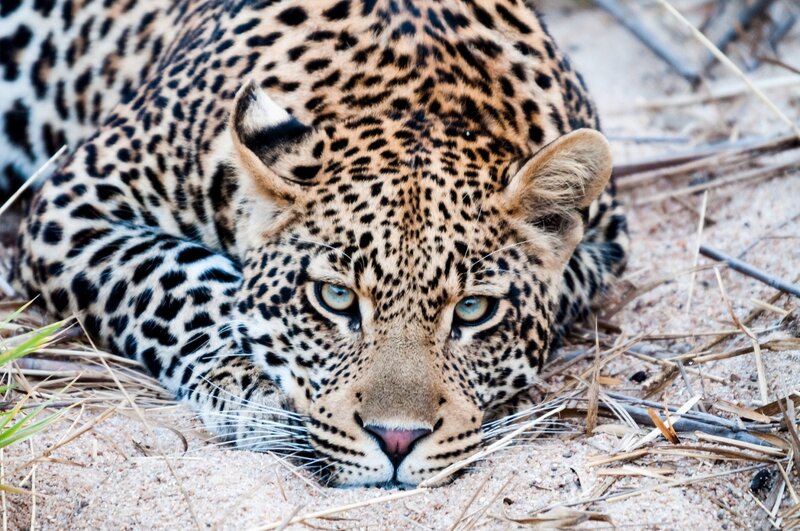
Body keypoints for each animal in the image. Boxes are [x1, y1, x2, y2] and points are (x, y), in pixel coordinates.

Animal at [1, 0, 628, 487]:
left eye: (474, 309)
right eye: (336, 299)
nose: (395, 440)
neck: (415, 93)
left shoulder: (606, 242)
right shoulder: (78, 199)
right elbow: (180, 283)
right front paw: (254, 388)